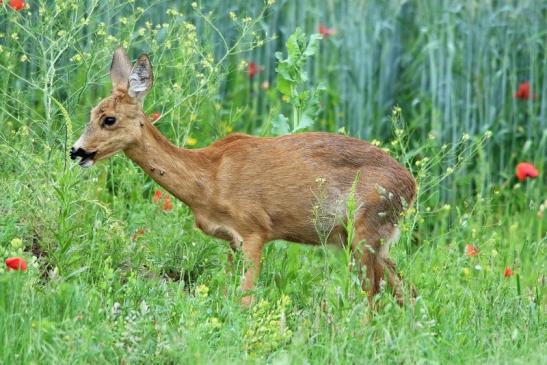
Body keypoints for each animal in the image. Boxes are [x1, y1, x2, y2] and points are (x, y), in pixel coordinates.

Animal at [70, 47, 418, 304]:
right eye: (91, 113)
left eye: (109, 119)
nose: (77, 151)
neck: (208, 179)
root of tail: (412, 186)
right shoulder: (230, 240)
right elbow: (226, 291)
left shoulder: (255, 228)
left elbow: (246, 298)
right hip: (361, 238)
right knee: (404, 289)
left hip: (366, 228)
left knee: (374, 293)